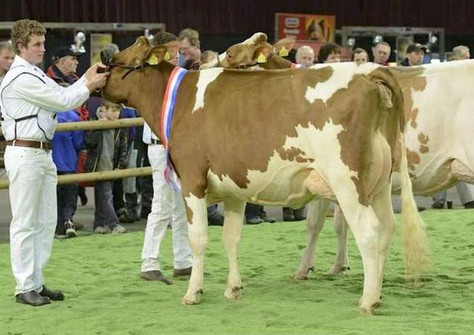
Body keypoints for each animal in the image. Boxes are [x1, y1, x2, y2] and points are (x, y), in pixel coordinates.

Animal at [102, 36, 428, 316]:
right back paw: (379, 294)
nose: (102, 61)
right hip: (379, 184)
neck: (179, 100)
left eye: (123, 60)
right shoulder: (233, 186)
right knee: (387, 228)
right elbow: (231, 238)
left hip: (347, 181)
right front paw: (233, 288)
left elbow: (199, 239)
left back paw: (368, 300)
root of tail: (369, 72)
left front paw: (193, 292)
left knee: (369, 232)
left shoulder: (193, 179)